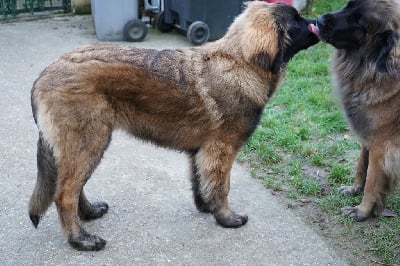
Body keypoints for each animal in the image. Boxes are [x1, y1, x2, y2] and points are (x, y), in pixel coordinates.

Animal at [29, 1, 318, 251]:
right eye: (297, 20)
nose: (319, 22)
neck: (240, 62)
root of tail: (44, 73)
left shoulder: (201, 152)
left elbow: (201, 183)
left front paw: (207, 208)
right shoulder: (221, 149)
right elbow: (221, 187)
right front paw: (226, 218)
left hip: (85, 145)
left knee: (73, 187)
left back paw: (89, 214)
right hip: (89, 141)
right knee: (64, 194)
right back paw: (81, 239)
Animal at [310, 0, 400, 220]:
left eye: (359, 22)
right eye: (347, 5)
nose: (319, 19)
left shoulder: (381, 146)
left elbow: (372, 182)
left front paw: (362, 211)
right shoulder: (367, 137)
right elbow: (361, 167)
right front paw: (353, 190)